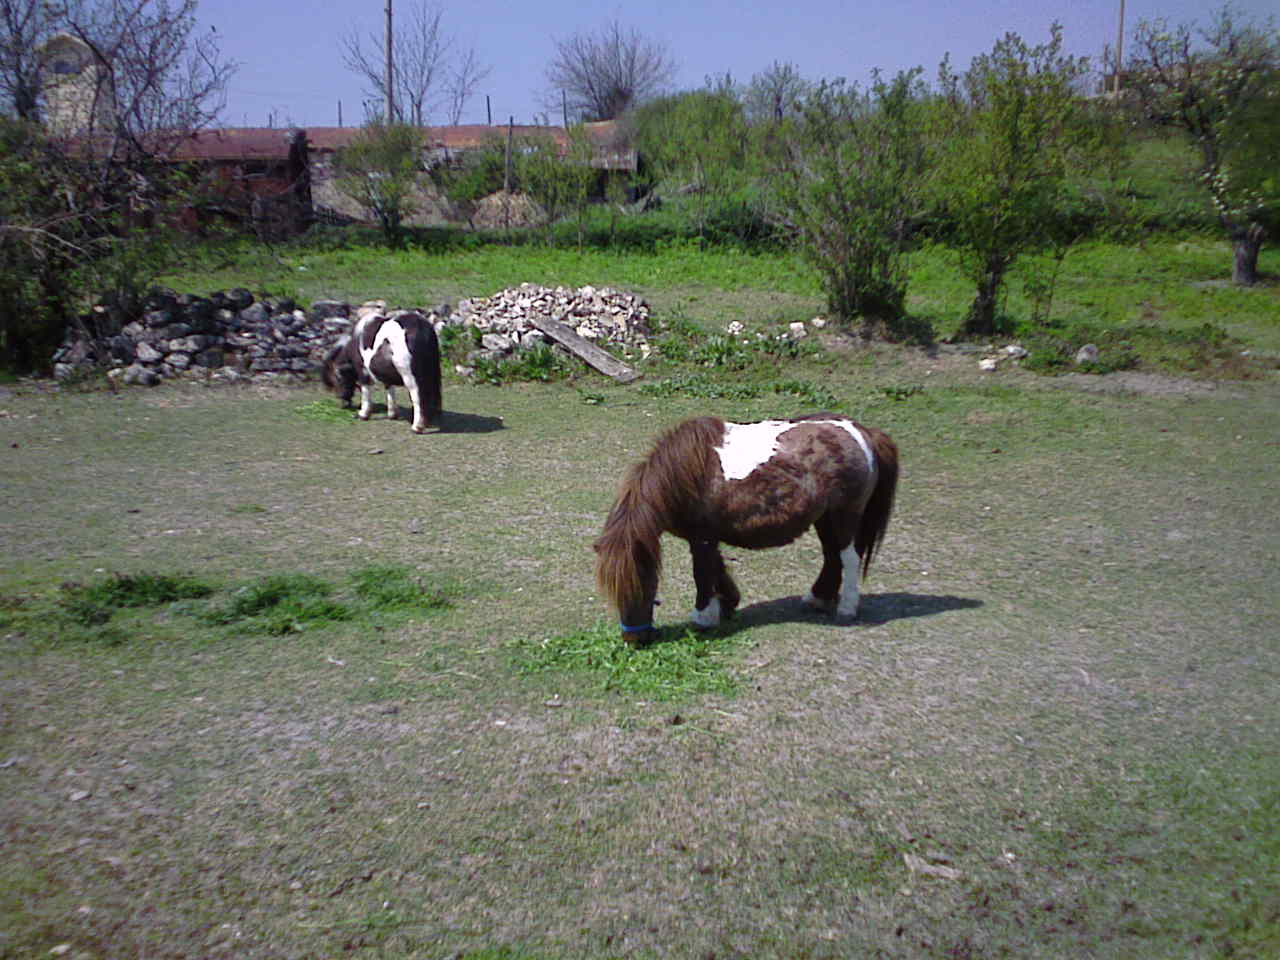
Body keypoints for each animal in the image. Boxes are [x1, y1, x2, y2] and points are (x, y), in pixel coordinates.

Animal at [594, 414, 898, 646]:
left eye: (640, 583)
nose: (634, 640)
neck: (687, 475)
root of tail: (863, 433)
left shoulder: (701, 538)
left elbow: (702, 573)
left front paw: (703, 617)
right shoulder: (706, 537)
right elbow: (716, 569)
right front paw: (728, 604)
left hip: (844, 516)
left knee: (848, 558)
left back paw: (846, 608)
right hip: (825, 519)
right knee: (832, 557)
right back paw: (817, 599)